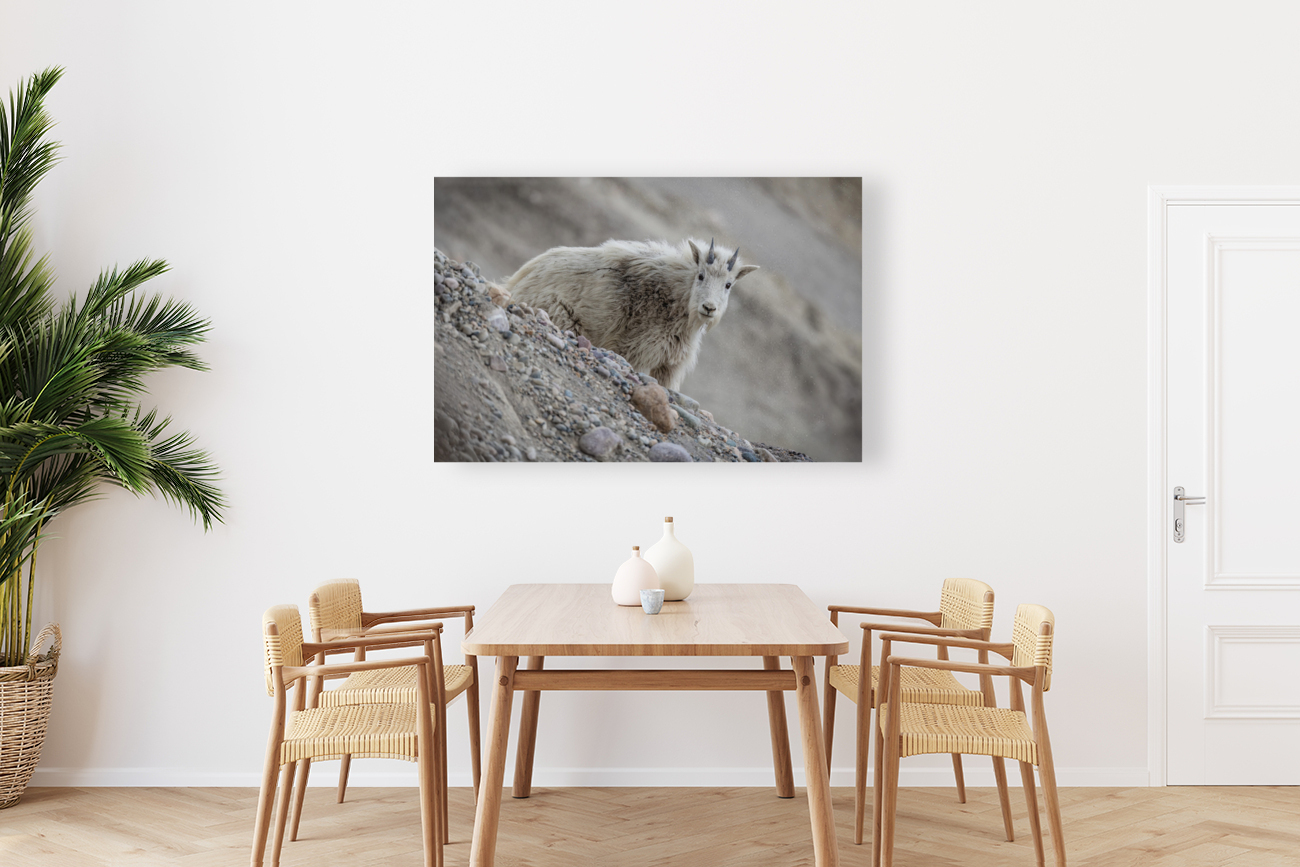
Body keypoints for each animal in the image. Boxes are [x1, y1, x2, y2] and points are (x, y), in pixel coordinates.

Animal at [503, 238, 758, 391]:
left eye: (728, 285)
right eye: (701, 275)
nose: (709, 308)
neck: (678, 302)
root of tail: (513, 283)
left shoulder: (669, 366)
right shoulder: (636, 350)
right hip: (561, 317)